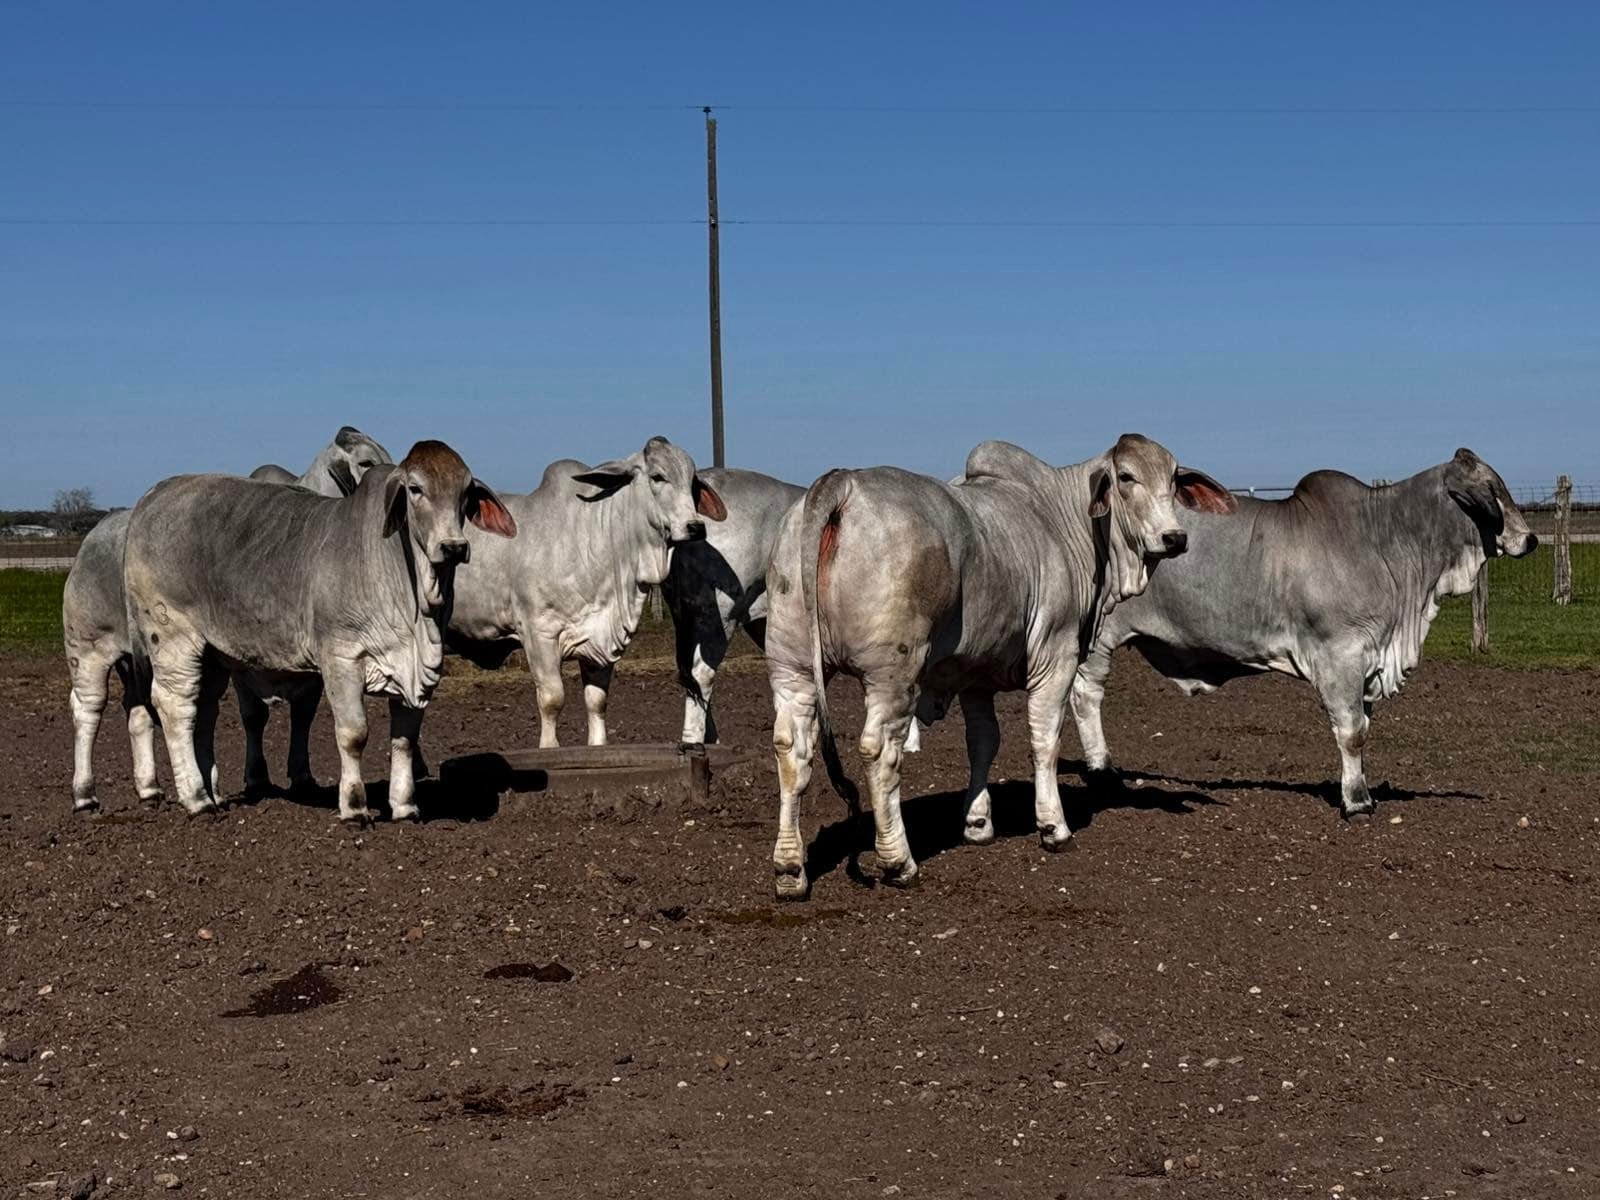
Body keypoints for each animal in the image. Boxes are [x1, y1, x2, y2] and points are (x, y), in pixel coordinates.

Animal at [62, 428, 392, 812]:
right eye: (365, 461)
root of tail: (95, 534)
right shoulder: (242, 667)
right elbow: (254, 716)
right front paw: (256, 778)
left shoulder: (312, 669)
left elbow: (303, 715)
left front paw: (302, 778)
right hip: (90, 648)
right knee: (88, 708)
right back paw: (86, 793)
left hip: (140, 661)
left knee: (143, 711)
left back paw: (152, 788)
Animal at [123, 440, 515, 822]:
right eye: (415, 489)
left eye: (465, 493)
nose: (454, 547)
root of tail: (152, 497)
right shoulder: (342, 657)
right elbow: (354, 734)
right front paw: (354, 806)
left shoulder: (416, 670)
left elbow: (404, 738)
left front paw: (405, 806)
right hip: (173, 637)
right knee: (174, 706)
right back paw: (197, 799)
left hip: (212, 654)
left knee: (203, 711)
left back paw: (214, 793)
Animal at [445, 436, 726, 747]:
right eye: (657, 476)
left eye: (692, 482)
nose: (696, 527)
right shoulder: (538, 633)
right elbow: (552, 699)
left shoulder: (600, 642)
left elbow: (597, 701)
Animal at [764, 435, 1235, 898]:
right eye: (1126, 476)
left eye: (1173, 478)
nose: (1174, 537)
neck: (1067, 522)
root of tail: (842, 482)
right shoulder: (1056, 655)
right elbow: (1045, 740)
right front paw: (1053, 827)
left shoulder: (975, 673)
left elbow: (984, 742)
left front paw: (977, 824)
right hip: (890, 674)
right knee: (879, 752)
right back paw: (898, 861)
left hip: (792, 666)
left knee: (792, 749)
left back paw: (790, 869)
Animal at [1067, 447, 1537, 819]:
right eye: (1493, 488)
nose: (1530, 539)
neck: (1387, 541)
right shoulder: (1340, 655)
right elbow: (1352, 731)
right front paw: (1357, 801)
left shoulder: (1367, 660)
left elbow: (1364, 726)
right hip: (1097, 641)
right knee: (1086, 697)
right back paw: (1104, 774)